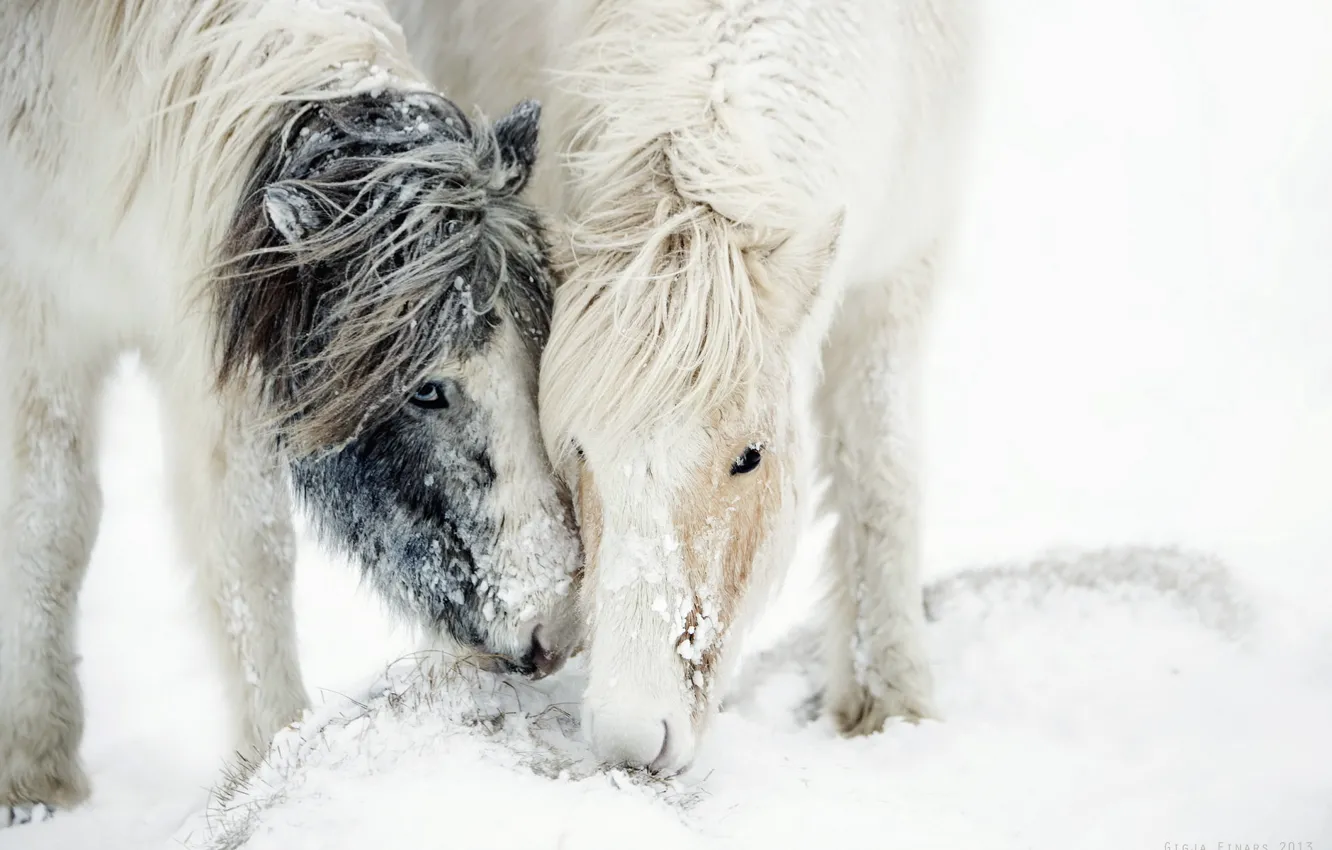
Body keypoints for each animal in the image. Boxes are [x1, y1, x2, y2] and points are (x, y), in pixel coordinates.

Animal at [0, 0, 582, 826]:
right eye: (426, 389)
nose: (556, 629)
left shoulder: (221, 359)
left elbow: (245, 547)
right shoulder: (41, 322)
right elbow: (56, 523)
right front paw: (37, 771)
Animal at [393, 0, 977, 771]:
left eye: (750, 457)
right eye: (578, 451)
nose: (632, 739)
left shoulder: (900, 273)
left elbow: (881, 478)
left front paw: (893, 703)